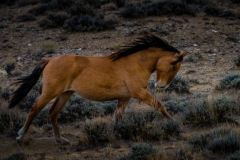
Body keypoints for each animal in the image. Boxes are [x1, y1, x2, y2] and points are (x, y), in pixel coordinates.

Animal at [8, 34, 188, 144]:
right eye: (173, 65)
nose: (162, 86)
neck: (137, 62)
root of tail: (50, 60)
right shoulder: (140, 93)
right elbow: (160, 106)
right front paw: (174, 123)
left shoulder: (125, 97)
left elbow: (117, 117)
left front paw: (115, 134)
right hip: (50, 92)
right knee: (34, 109)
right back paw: (21, 135)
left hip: (65, 94)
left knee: (53, 113)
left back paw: (60, 140)